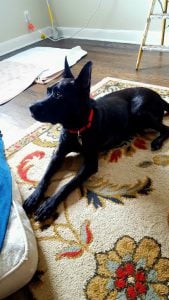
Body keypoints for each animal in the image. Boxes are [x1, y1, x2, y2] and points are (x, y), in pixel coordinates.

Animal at [23, 58, 169, 220]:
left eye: (59, 95)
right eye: (48, 91)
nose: (30, 108)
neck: (76, 128)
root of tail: (159, 96)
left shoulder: (90, 164)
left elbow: (69, 184)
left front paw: (49, 204)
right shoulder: (57, 155)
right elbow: (45, 176)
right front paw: (34, 197)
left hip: (139, 112)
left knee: (166, 128)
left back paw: (156, 141)